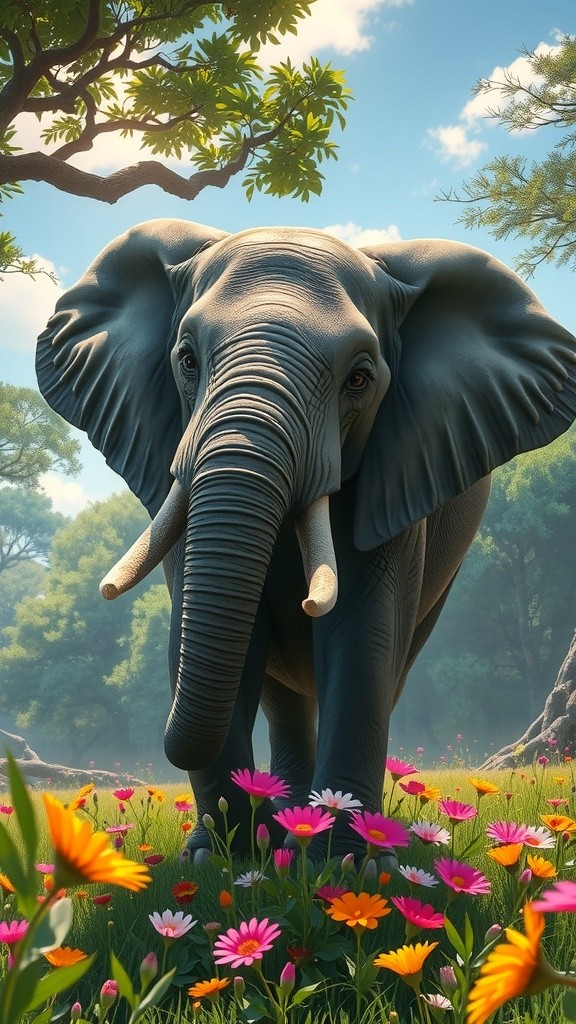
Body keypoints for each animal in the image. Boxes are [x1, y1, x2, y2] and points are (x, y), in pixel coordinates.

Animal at [37, 219, 576, 857]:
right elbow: (214, 634)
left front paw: (349, 861)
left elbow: (362, 641)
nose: (268, 828)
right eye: (187, 359)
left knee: (390, 670)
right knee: (283, 694)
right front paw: (217, 856)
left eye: (359, 379)